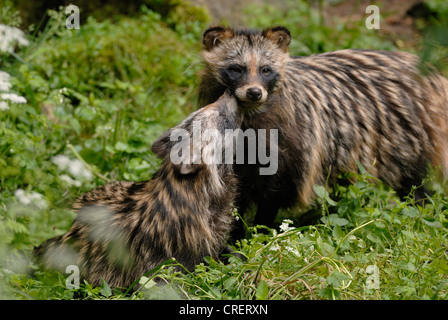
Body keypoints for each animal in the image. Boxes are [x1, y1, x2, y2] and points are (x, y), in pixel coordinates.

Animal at [199, 25, 448, 238]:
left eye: (266, 70)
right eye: (236, 69)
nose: (254, 92)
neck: (250, 115)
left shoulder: (293, 145)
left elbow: (275, 193)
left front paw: (259, 235)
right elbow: (235, 195)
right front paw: (234, 238)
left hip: (411, 134)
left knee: (414, 180)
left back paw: (419, 209)